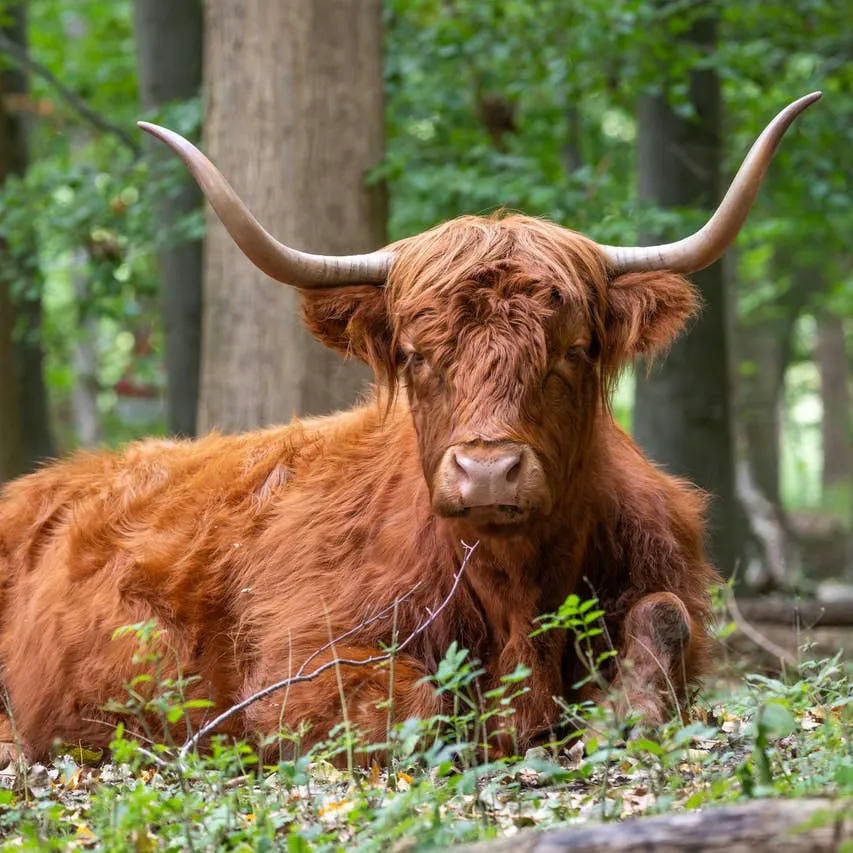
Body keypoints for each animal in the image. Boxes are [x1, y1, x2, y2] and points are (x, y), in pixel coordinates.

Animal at [0, 93, 819, 764]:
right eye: (419, 354)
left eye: (574, 349)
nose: (487, 471)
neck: (516, 586)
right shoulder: (301, 662)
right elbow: (416, 710)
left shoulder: (661, 582)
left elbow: (664, 622)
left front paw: (612, 715)